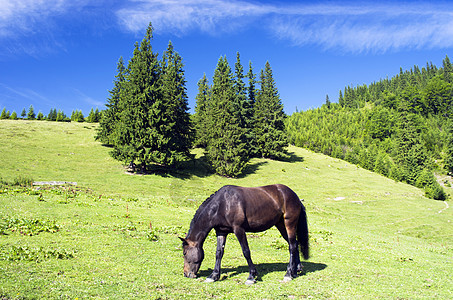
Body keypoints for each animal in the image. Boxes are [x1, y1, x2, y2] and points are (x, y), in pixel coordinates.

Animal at [178, 184, 308, 284]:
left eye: (184, 253)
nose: (186, 274)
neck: (223, 204)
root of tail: (294, 195)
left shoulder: (239, 229)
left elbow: (246, 251)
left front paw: (251, 276)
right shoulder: (221, 232)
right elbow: (219, 253)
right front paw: (213, 276)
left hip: (289, 223)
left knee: (292, 246)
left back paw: (288, 274)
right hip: (280, 225)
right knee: (294, 244)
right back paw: (296, 270)